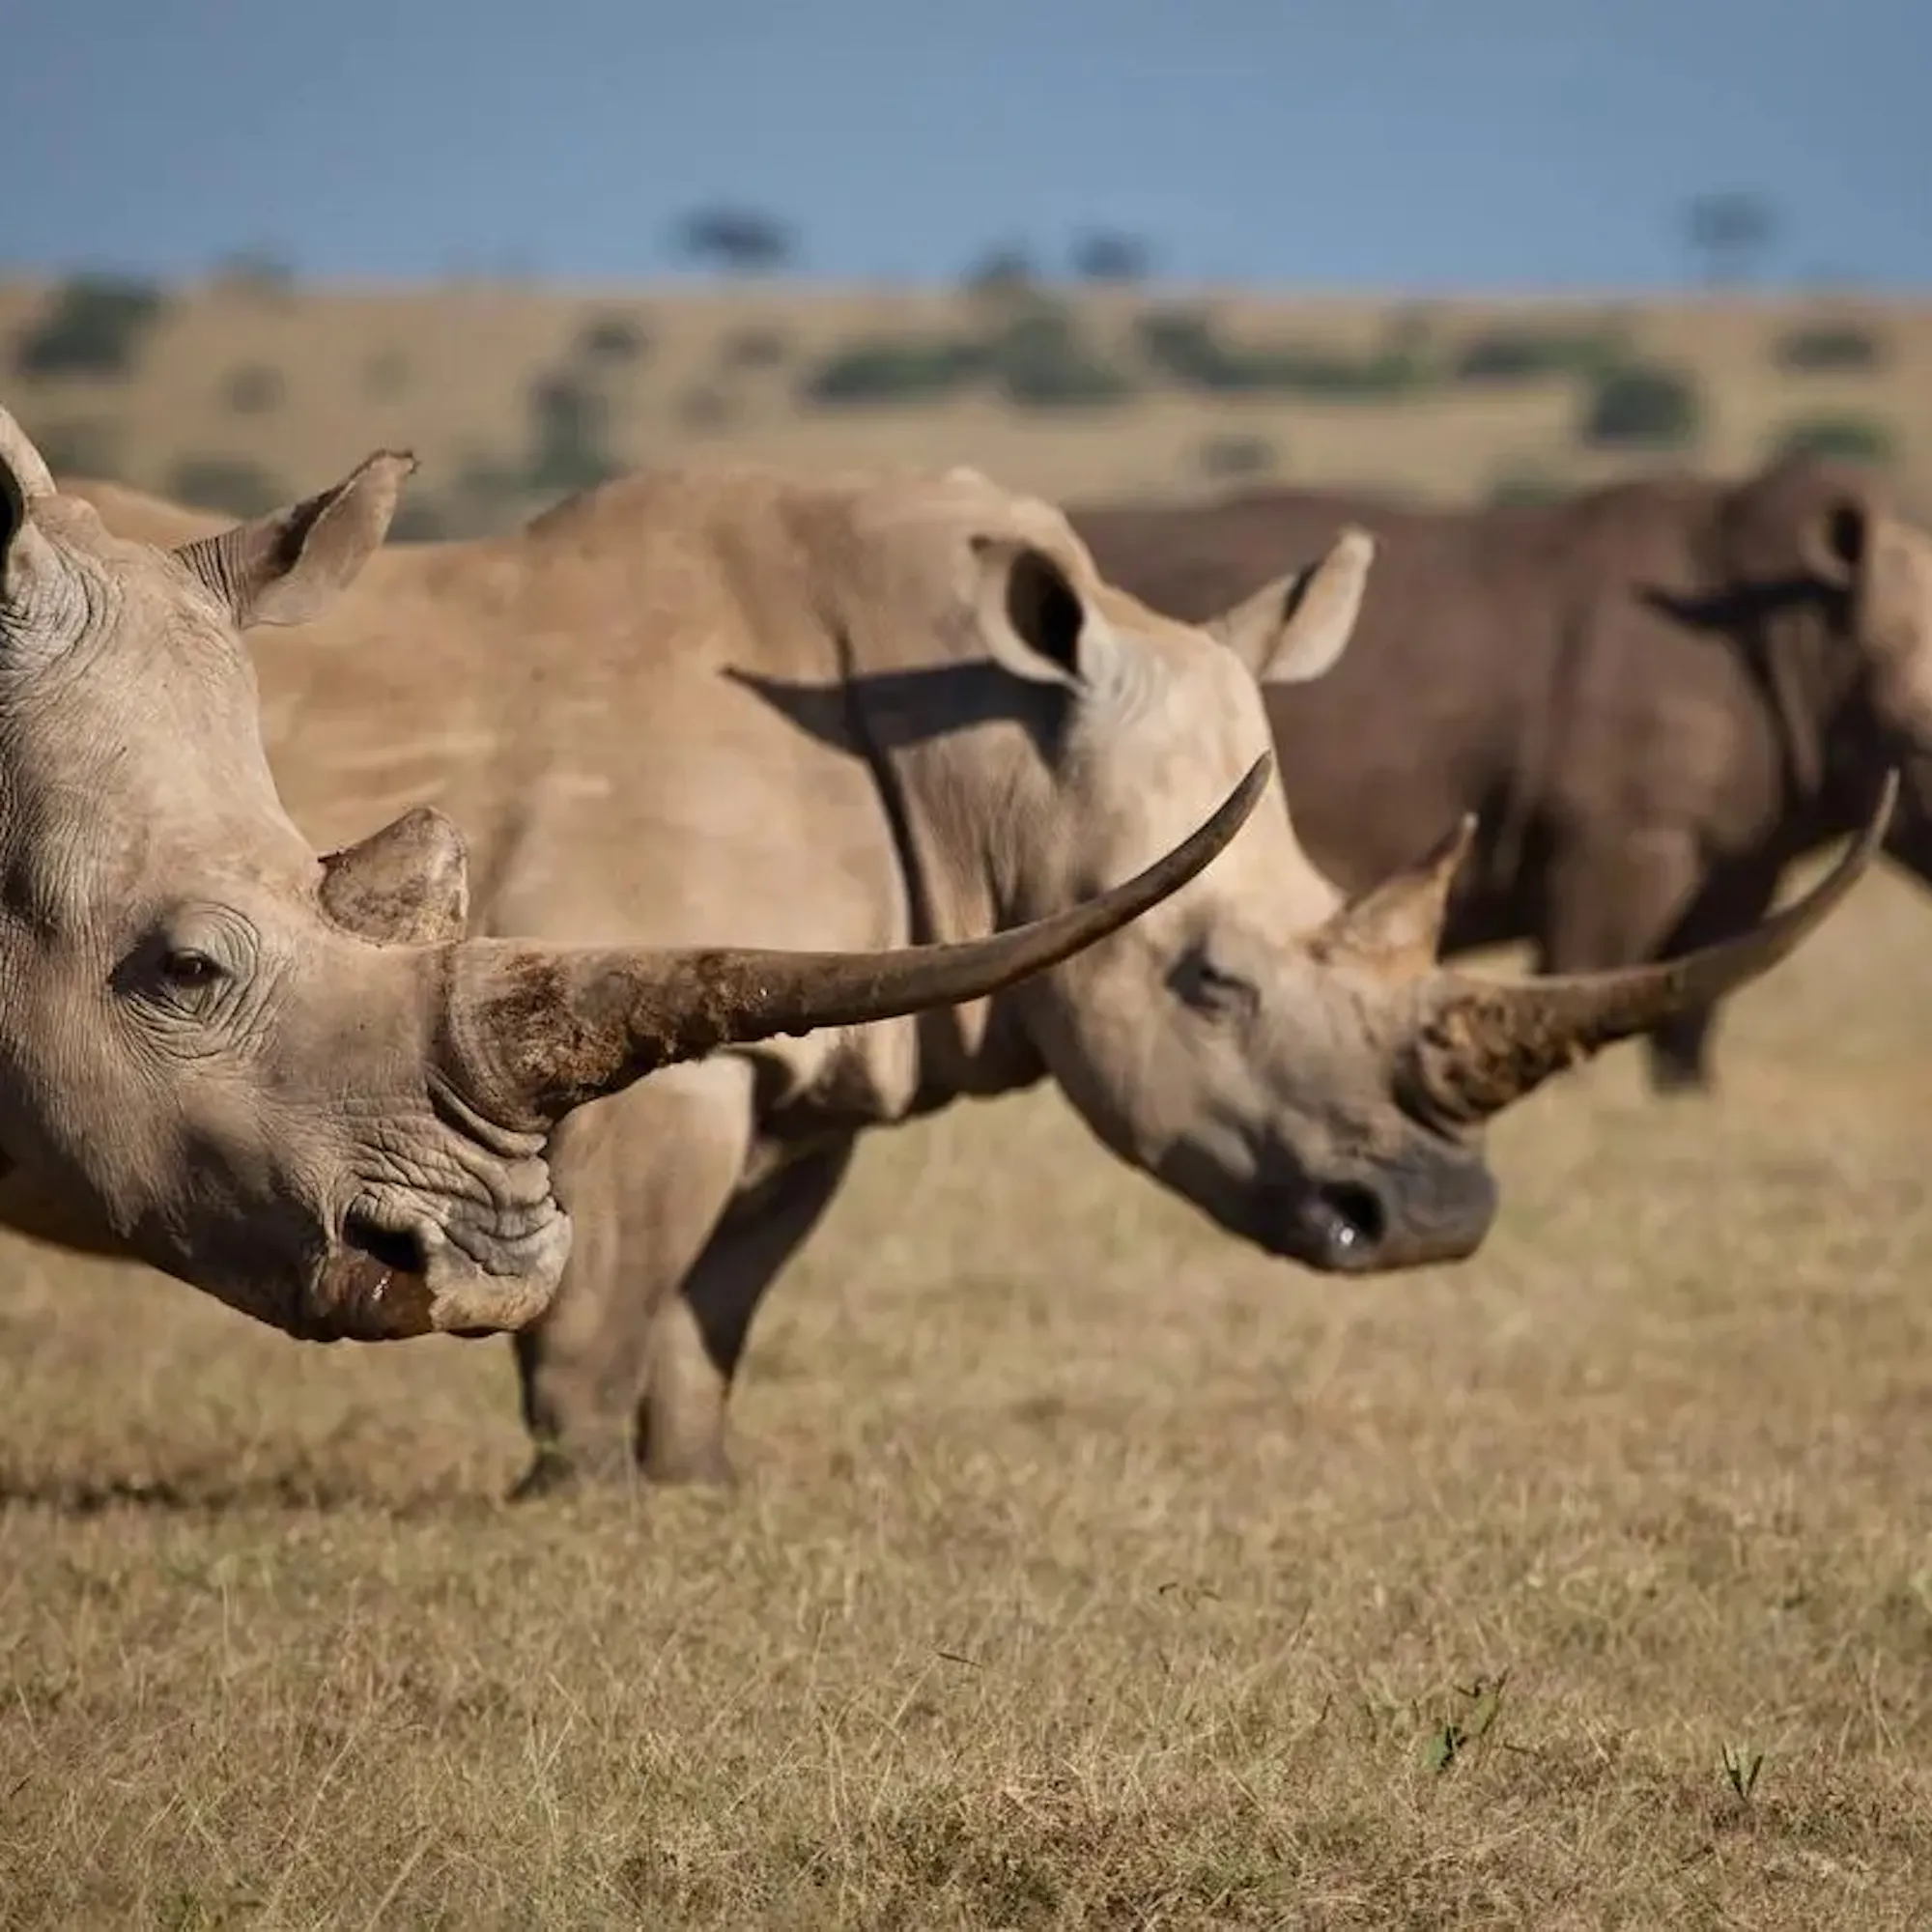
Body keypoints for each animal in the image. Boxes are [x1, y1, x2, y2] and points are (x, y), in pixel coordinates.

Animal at [1071, 455, 1932, 1094]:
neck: (1808, 633)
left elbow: (1693, 1010)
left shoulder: (1742, 848)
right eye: (1918, 744)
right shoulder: (1621, 840)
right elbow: (1591, 972)